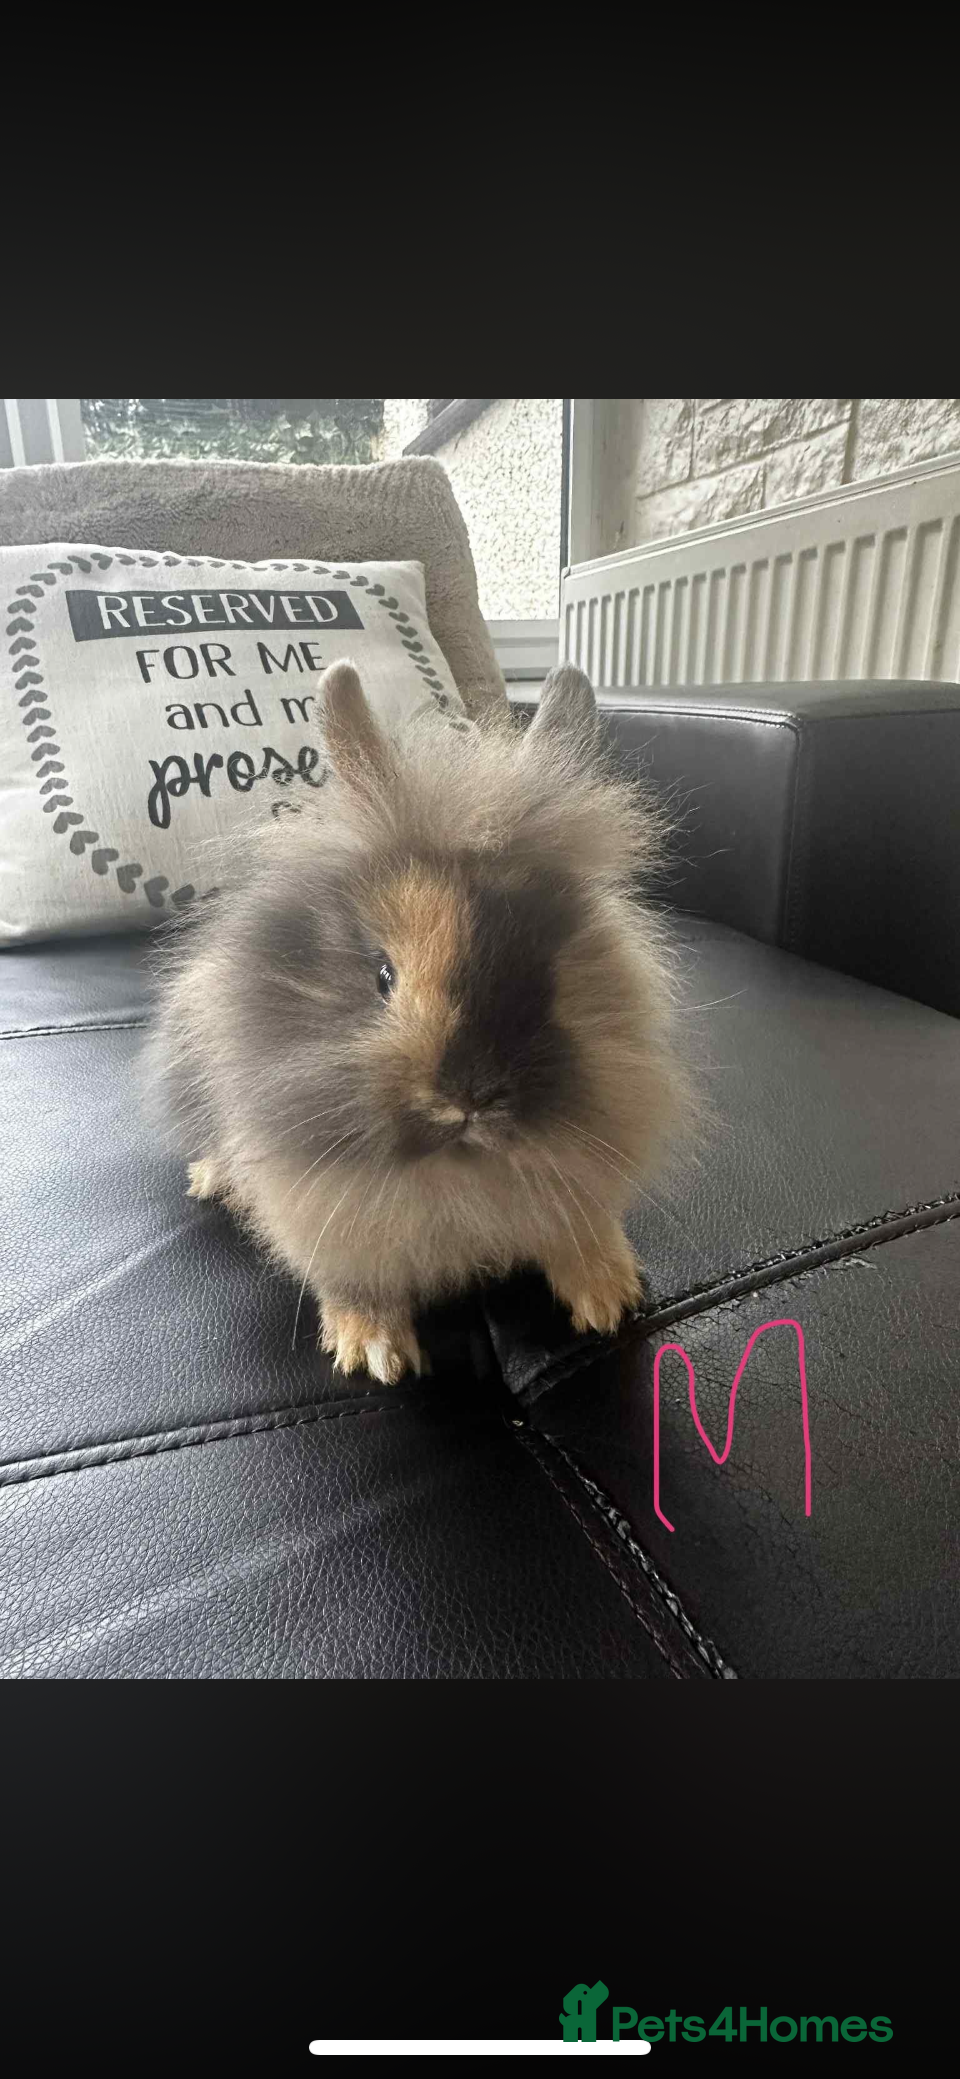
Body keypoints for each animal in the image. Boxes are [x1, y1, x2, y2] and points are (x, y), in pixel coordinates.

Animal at [144, 658, 693, 1385]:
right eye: (382, 975)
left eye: (545, 975)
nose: (471, 1093)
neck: (460, 1167)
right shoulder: (319, 1210)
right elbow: (353, 1278)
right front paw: (374, 1351)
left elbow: (579, 1231)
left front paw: (608, 1297)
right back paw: (211, 1180)